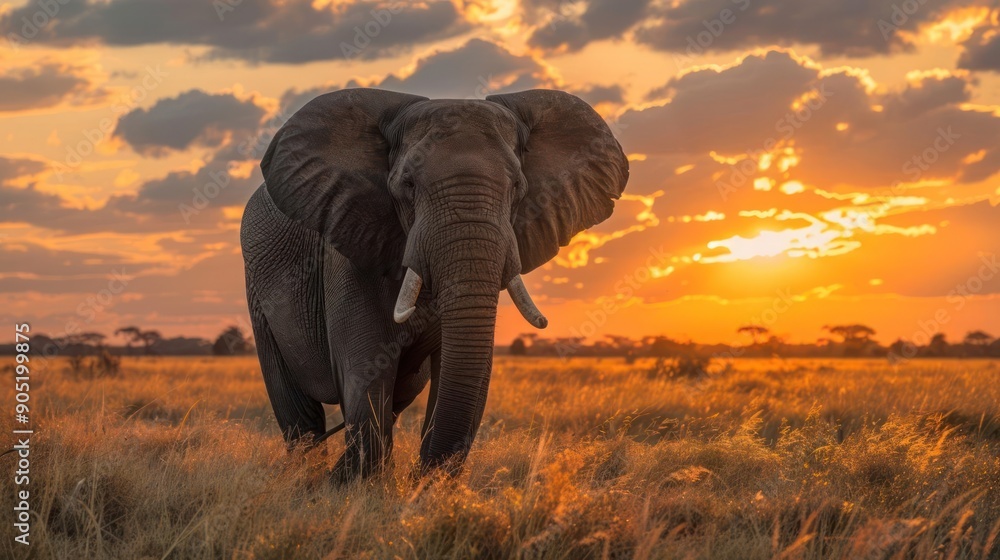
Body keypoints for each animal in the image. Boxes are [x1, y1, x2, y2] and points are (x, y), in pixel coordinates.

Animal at [240, 88, 629, 481]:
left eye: (518, 187)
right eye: (408, 186)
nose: (419, 478)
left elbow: (459, 372)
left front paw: (417, 487)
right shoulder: (348, 247)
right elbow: (366, 369)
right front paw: (360, 487)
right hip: (256, 288)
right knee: (298, 412)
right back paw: (309, 473)